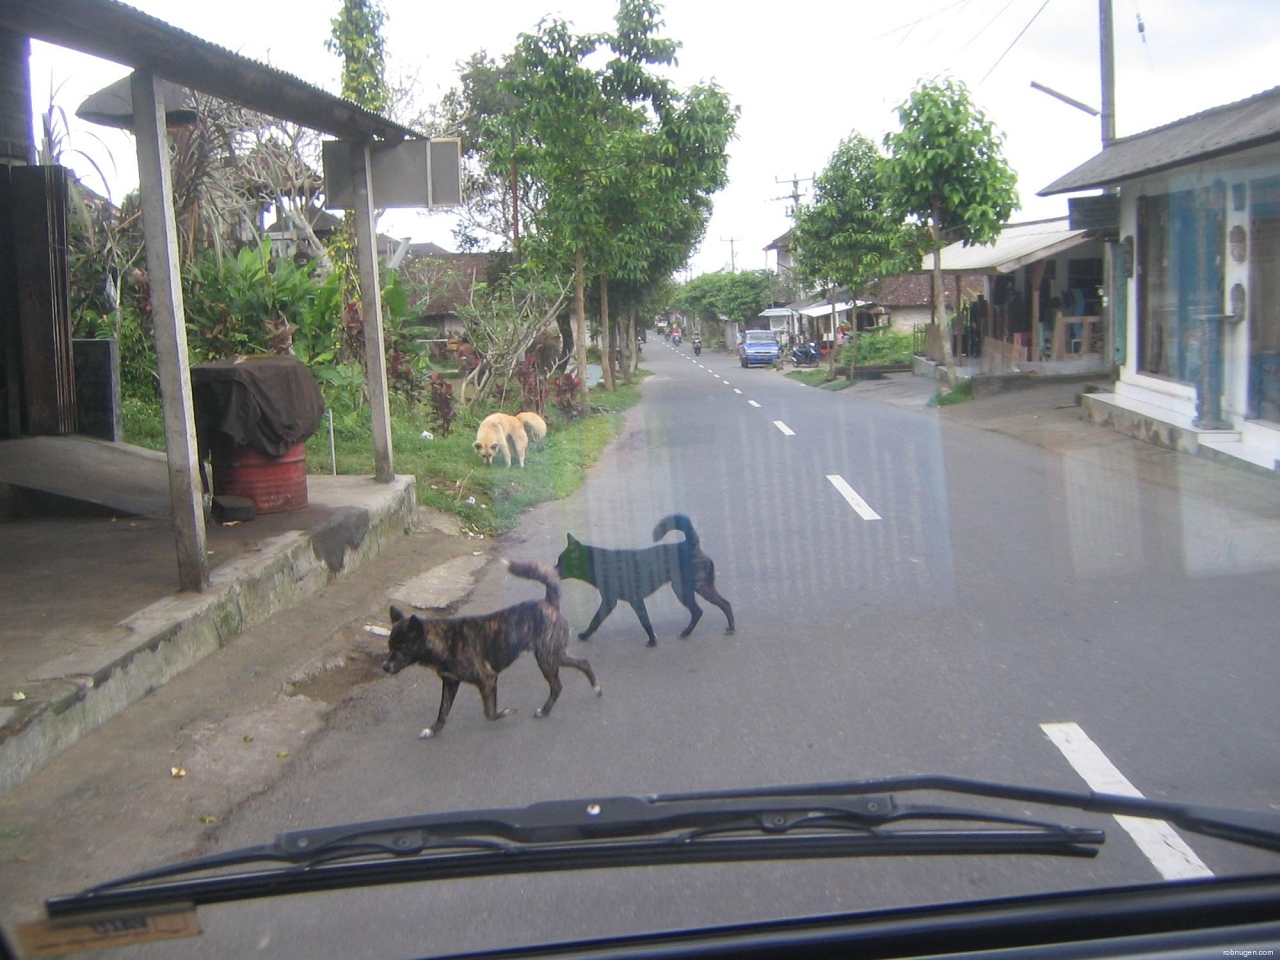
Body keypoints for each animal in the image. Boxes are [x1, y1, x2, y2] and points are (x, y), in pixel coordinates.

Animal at [381, 560, 601, 742]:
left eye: (402, 648)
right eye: (390, 646)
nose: (384, 666)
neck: (445, 640)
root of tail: (548, 602)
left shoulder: (488, 679)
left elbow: (490, 713)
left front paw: (508, 711)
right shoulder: (450, 683)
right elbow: (443, 712)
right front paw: (433, 730)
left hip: (546, 658)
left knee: (557, 686)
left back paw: (545, 710)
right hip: (555, 655)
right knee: (583, 662)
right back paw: (595, 688)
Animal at [555, 519, 737, 647]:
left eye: (561, 561)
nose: (552, 569)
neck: (597, 563)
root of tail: (690, 544)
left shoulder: (624, 601)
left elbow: (641, 621)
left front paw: (652, 641)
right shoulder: (615, 601)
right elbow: (598, 620)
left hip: (697, 587)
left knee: (724, 604)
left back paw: (730, 628)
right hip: (683, 589)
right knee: (698, 611)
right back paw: (686, 632)